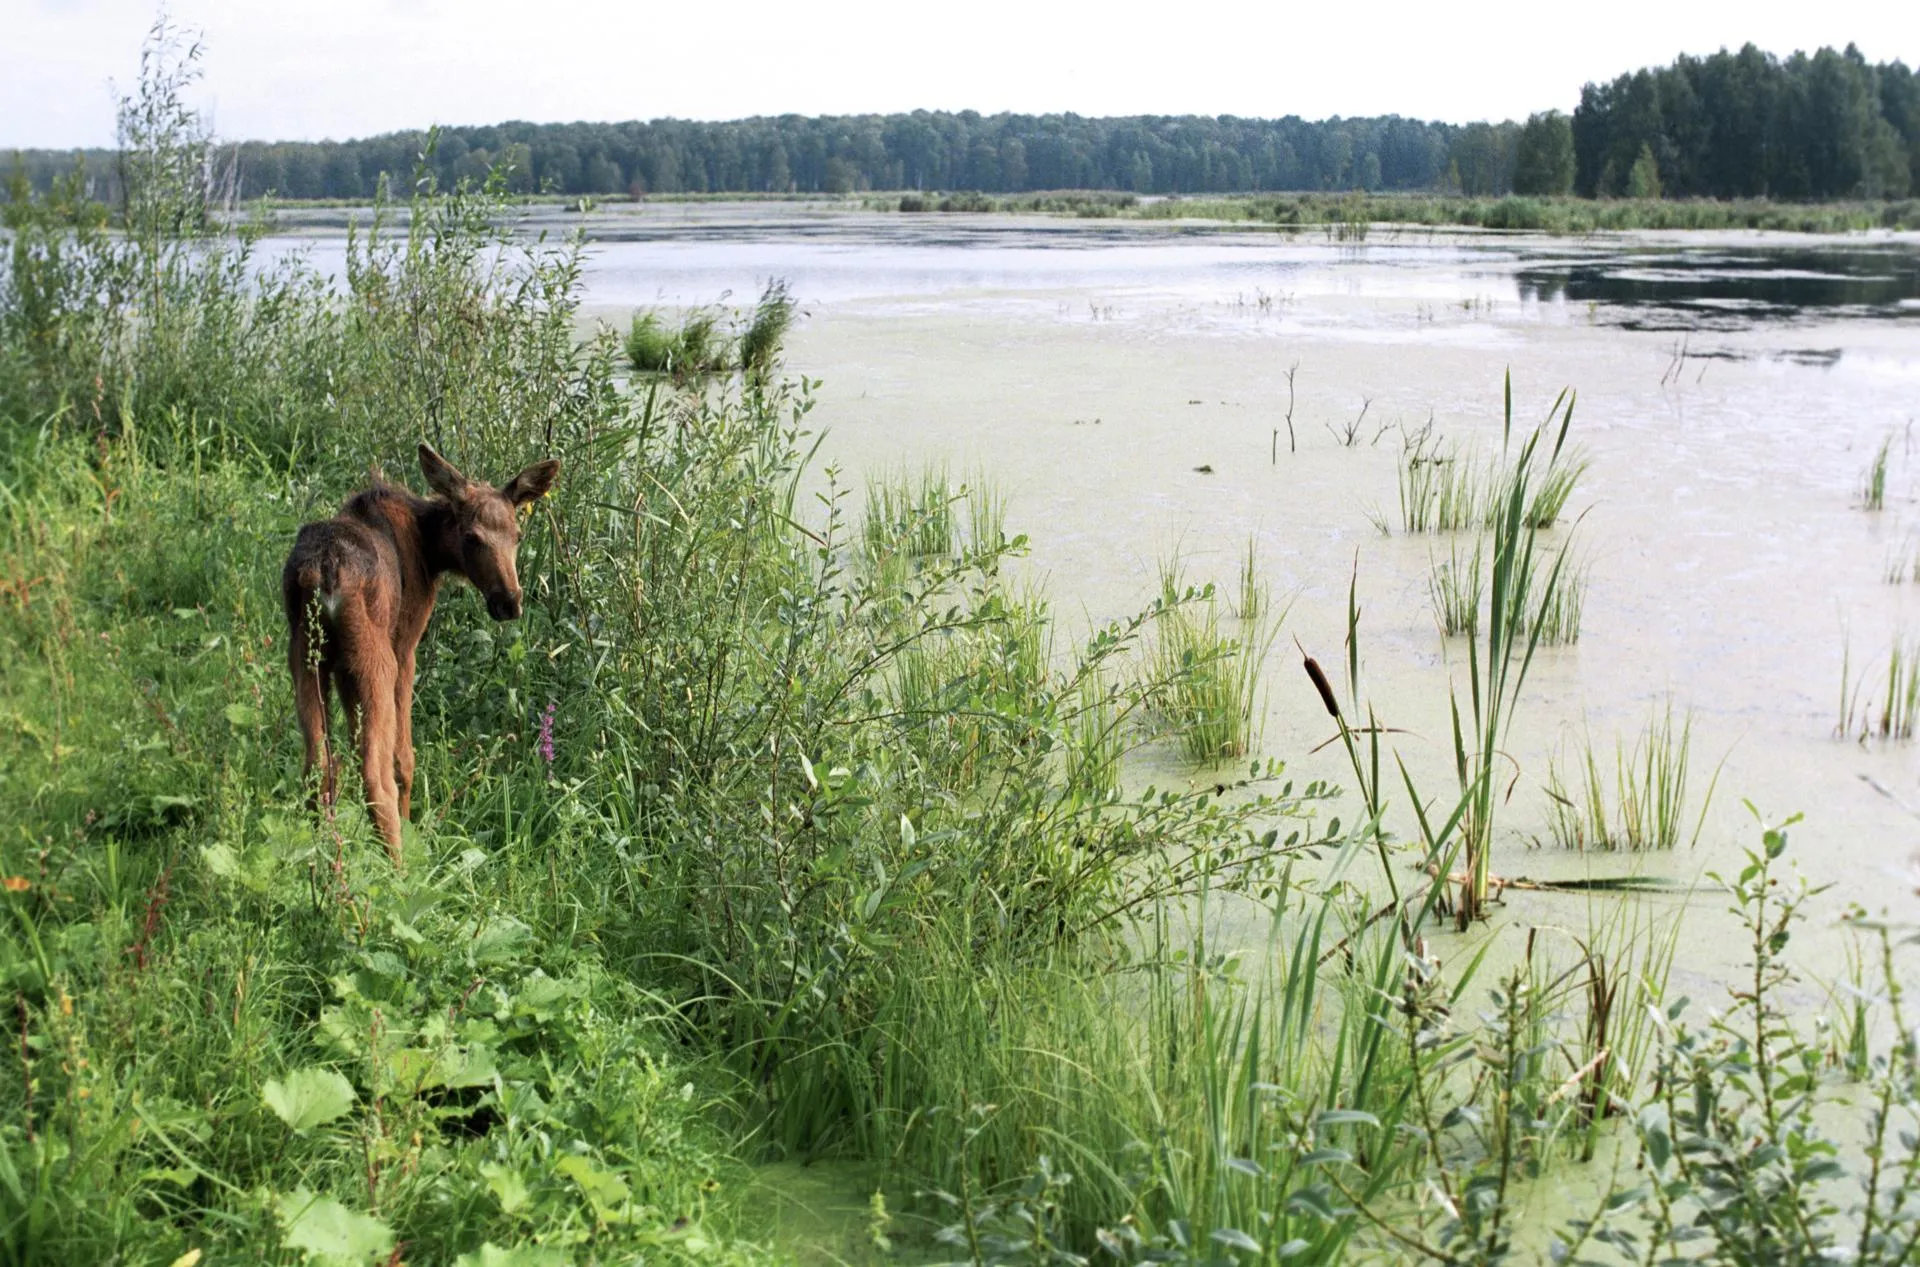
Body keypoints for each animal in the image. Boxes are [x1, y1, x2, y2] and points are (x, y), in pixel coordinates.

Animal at [280, 443, 560, 860]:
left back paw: (327, 857)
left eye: (518, 534)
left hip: (305, 654)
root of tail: (324, 572)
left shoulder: (340, 670)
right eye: (471, 537)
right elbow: (404, 758)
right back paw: (398, 864)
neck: (432, 550)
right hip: (374, 659)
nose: (509, 601)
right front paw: (411, 824)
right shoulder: (405, 645)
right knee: (375, 774)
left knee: (318, 767)